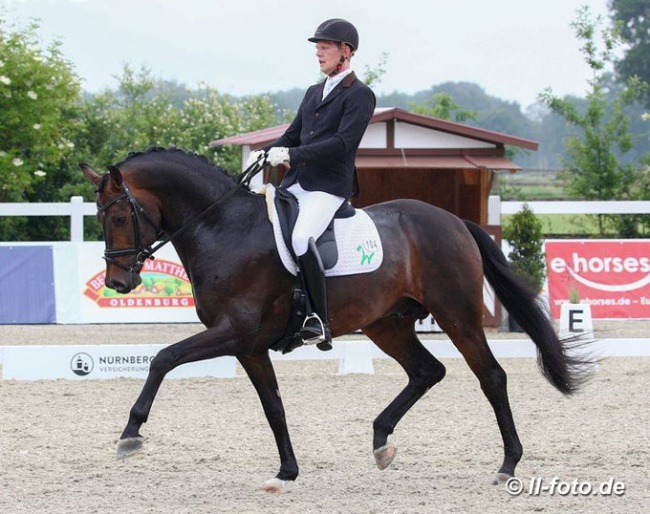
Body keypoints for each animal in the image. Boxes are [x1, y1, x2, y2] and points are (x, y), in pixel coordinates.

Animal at [79, 146, 592, 490]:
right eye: (100, 217)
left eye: (120, 216)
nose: (118, 283)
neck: (224, 228)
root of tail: (453, 221)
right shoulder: (248, 346)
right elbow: (273, 406)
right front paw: (287, 472)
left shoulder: (233, 333)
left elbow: (163, 359)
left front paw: (130, 435)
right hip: (388, 324)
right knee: (427, 371)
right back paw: (382, 441)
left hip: (457, 314)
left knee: (491, 376)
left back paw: (507, 465)